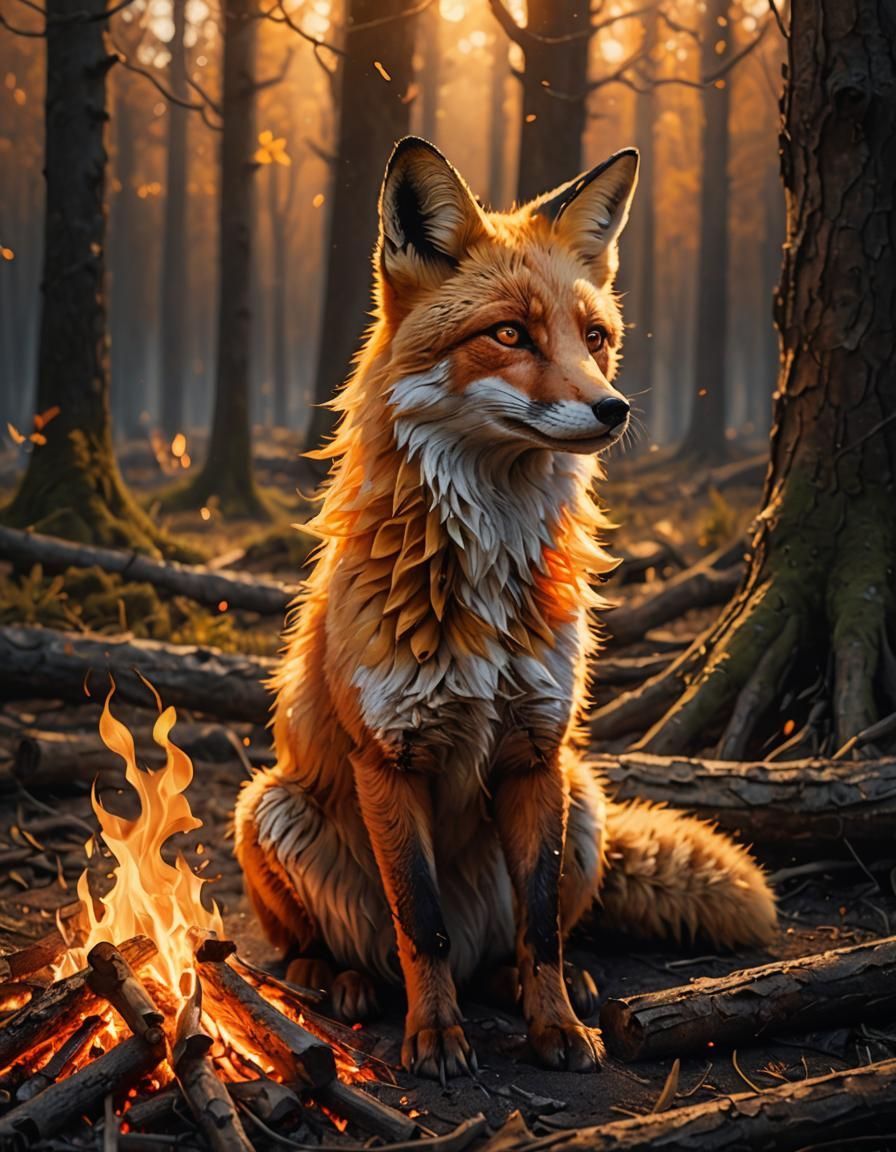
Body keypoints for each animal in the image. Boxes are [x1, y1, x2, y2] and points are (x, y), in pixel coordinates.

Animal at [234, 137, 776, 1080]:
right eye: (511, 334)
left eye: (595, 339)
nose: (614, 408)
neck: (482, 579)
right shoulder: (390, 758)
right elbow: (422, 926)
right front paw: (434, 1036)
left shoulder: (536, 749)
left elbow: (542, 927)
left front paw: (554, 1026)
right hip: (269, 805)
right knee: (345, 946)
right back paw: (337, 982)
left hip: (584, 797)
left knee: (513, 941)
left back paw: (523, 988)